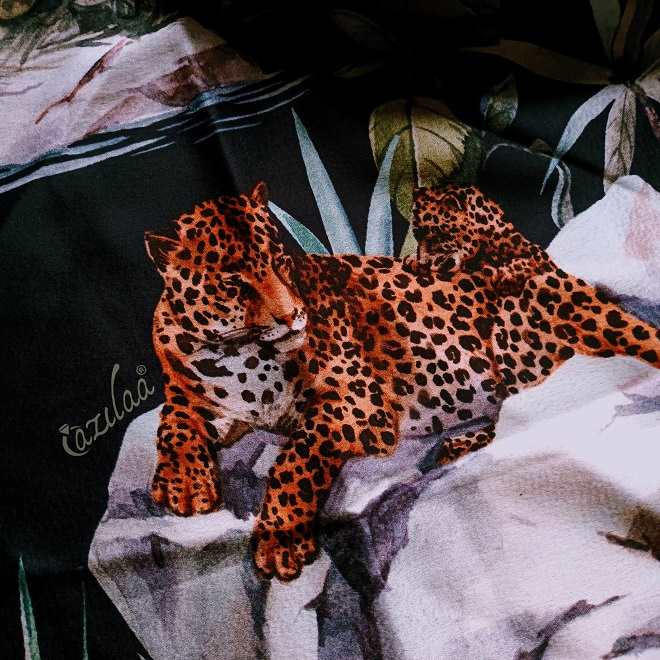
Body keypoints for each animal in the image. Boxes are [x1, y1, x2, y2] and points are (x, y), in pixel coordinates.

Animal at [145, 181, 660, 582]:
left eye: (279, 261)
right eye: (234, 283)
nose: (292, 316)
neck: (238, 355)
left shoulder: (357, 404)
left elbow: (295, 455)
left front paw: (281, 537)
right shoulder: (193, 390)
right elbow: (173, 420)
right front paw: (182, 482)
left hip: (519, 340)